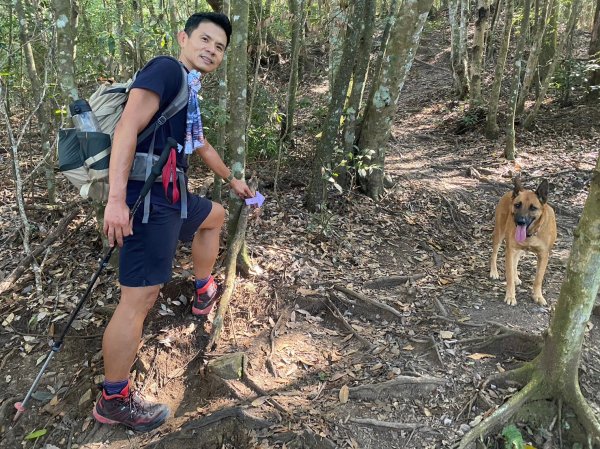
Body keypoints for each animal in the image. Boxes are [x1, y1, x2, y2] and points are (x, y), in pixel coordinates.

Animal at [488, 177, 556, 306]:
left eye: (533, 208)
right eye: (517, 205)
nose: (520, 221)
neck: (530, 234)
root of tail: (510, 192)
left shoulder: (544, 255)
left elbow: (538, 278)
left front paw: (538, 296)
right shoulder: (510, 250)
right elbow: (509, 275)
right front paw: (510, 296)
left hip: (518, 249)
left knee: (515, 262)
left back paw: (516, 277)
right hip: (499, 234)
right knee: (494, 254)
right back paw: (494, 272)